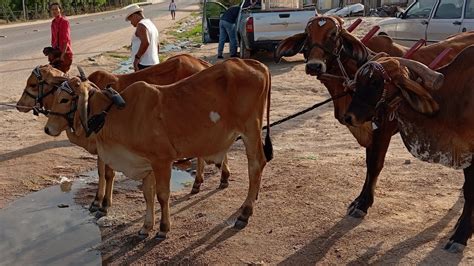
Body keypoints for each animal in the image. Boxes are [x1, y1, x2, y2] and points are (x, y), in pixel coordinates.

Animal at [15, 54, 219, 218]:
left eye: (33, 84)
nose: (18, 105)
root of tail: (201, 63)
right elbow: (101, 172)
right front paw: (97, 201)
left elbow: (107, 173)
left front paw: (103, 204)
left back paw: (205, 180)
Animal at [44, 57, 274, 237]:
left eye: (64, 99)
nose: (47, 128)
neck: (113, 114)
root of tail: (255, 64)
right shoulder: (145, 163)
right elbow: (148, 194)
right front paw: (146, 227)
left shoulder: (162, 161)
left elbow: (162, 195)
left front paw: (163, 228)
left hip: (251, 131)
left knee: (256, 164)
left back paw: (245, 212)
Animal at [276, 14, 474, 217]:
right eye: (307, 35)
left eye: (333, 34)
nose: (314, 66)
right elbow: (368, 163)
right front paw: (361, 199)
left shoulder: (383, 128)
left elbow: (374, 164)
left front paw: (363, 203)